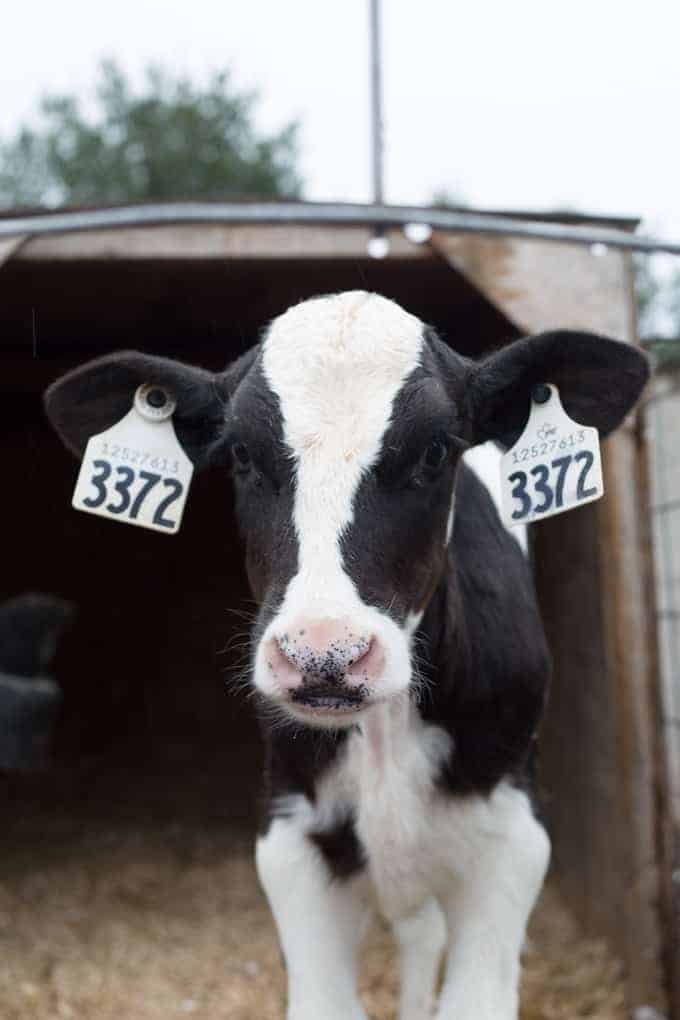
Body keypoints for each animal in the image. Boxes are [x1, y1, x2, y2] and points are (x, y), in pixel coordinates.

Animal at [44, 291, 649, 1020]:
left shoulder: (514, 834)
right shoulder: (291, 833)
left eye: (436, 451)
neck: (386, 733)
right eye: (240, 454)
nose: (323, 655)